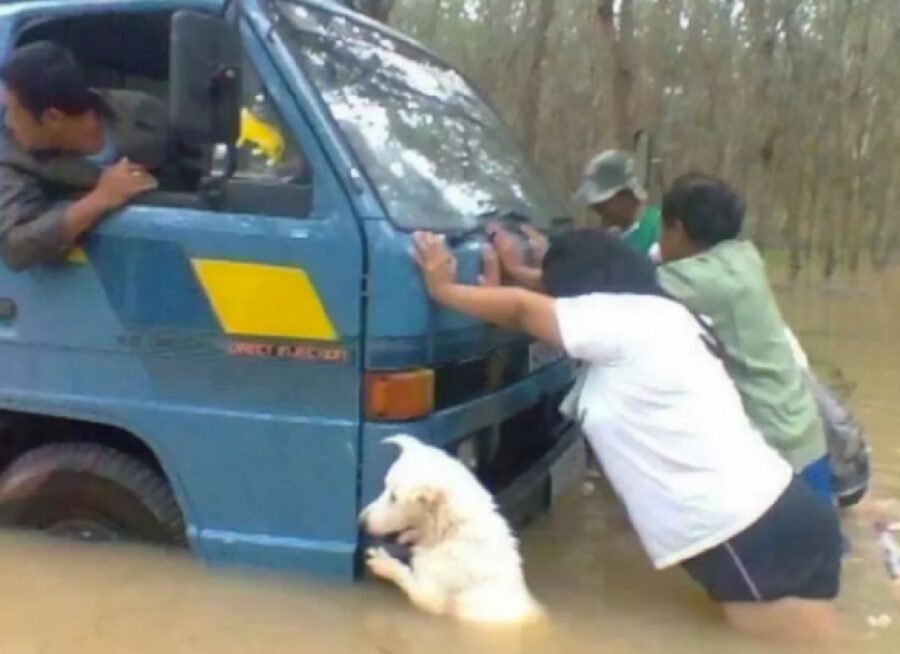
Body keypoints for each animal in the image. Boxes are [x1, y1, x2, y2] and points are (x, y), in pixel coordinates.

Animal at [358, 436, 540, 624]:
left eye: (394, 497)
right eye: (385, 487)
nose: (361, 521)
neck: (455, 532)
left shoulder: (429, 596)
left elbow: (404, 576)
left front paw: (384, 563)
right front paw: (408, 536)